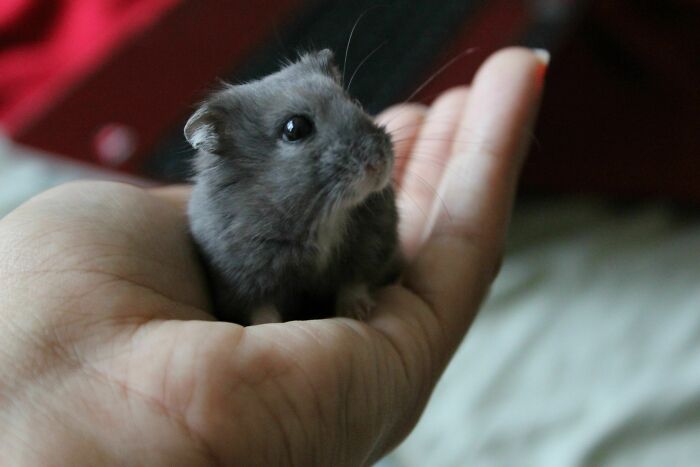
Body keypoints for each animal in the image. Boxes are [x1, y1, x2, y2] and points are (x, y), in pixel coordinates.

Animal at [185, 48, 400, 326]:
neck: (321, 215)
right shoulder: (243, 279)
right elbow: (261, 311)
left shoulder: (371, 247)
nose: (380, 164)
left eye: (355, 102)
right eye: (295, 128)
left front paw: (358, 313)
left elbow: (353, 284)